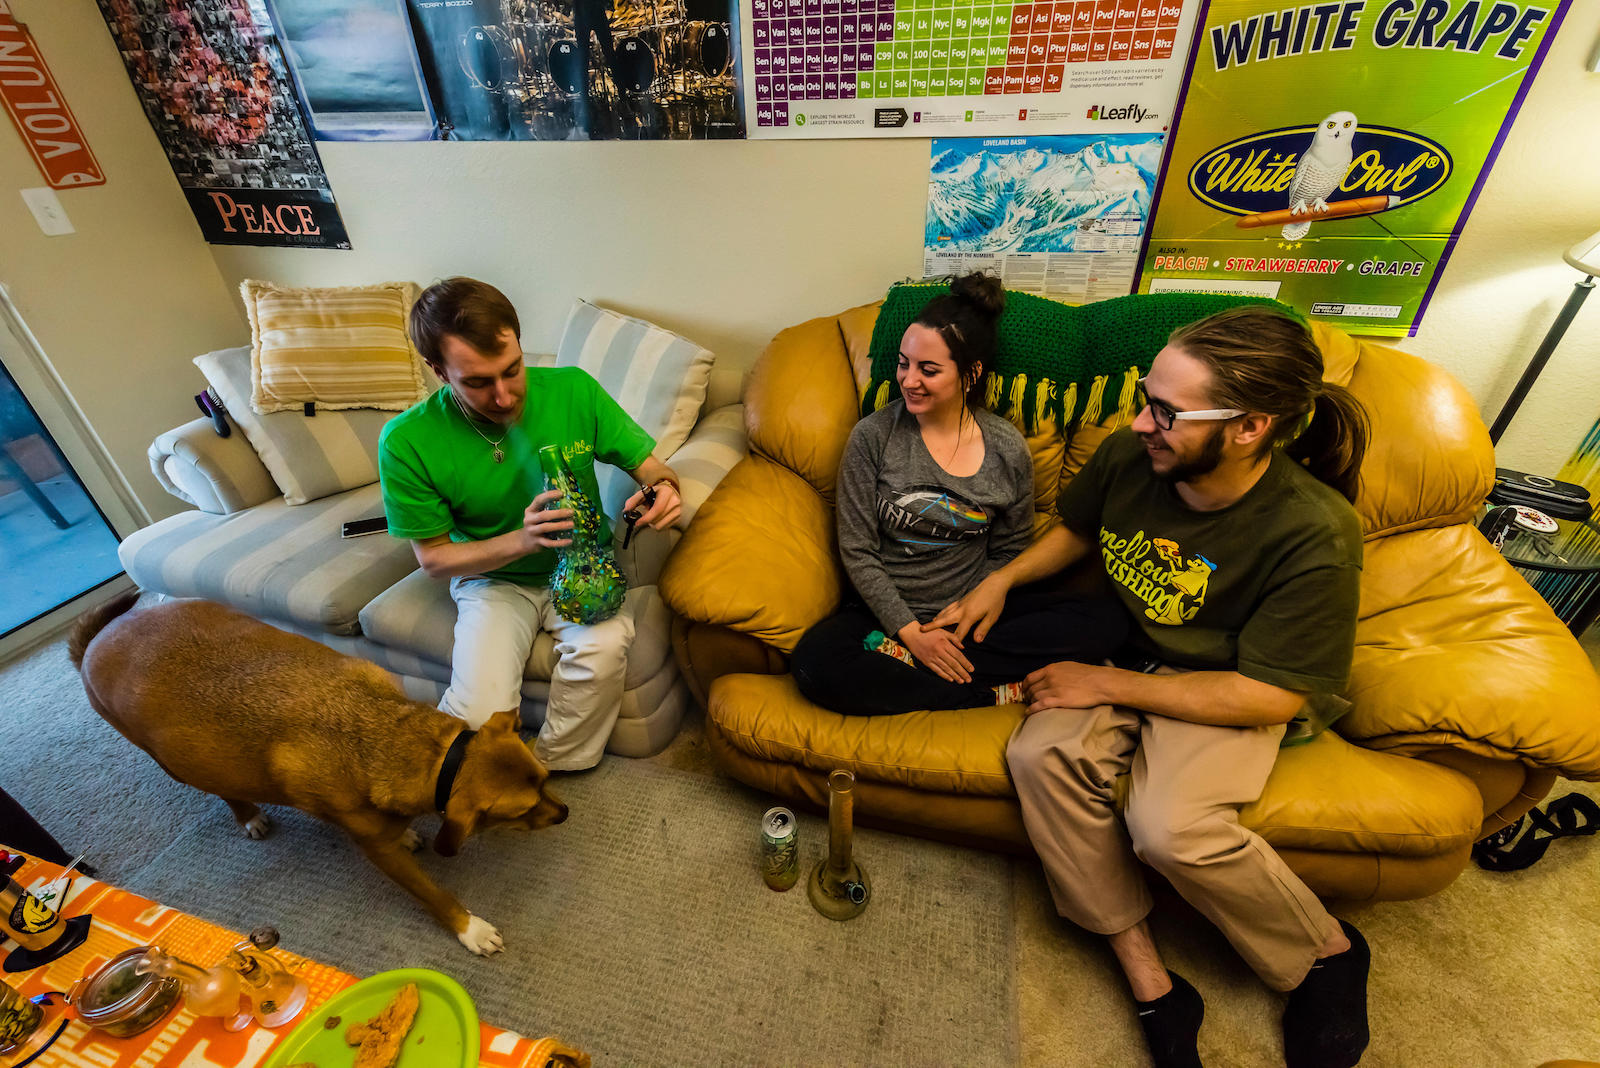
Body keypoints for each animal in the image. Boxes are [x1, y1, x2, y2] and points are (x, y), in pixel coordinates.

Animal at [70, 597, 569, 952]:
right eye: (520, 812)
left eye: (545, 779)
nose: (565, 814)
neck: (394, 739)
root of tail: (97, 641)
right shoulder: (379, 854)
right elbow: (433, 893)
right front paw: (470, 929)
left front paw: (408, 832)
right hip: (178, 763)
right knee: (222, 789)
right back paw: (248, 814)